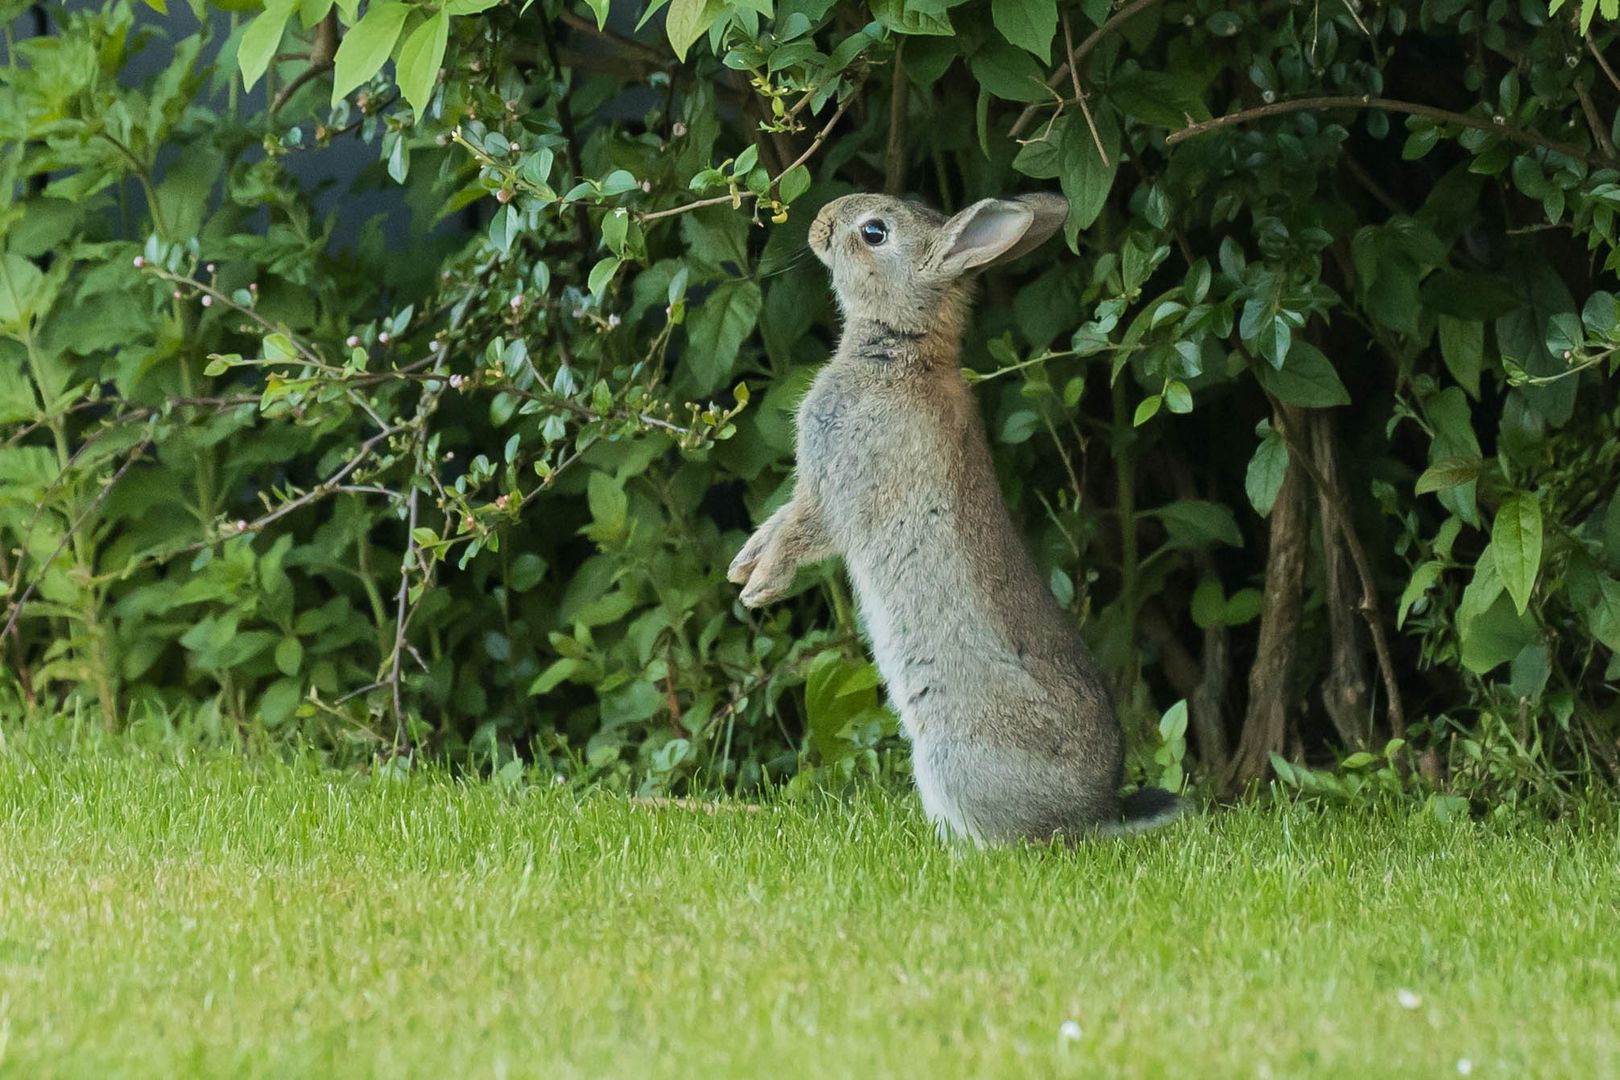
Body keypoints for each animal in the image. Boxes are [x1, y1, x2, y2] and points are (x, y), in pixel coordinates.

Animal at [732, 196, 1179, 854]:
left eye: (874, 232)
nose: (820, 222)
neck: (903, 347)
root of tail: (1092, 814)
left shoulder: (839, 490)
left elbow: (802, 532)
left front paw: (759, 588)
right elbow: (780, 520)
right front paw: (742, 566)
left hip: (949, 753)